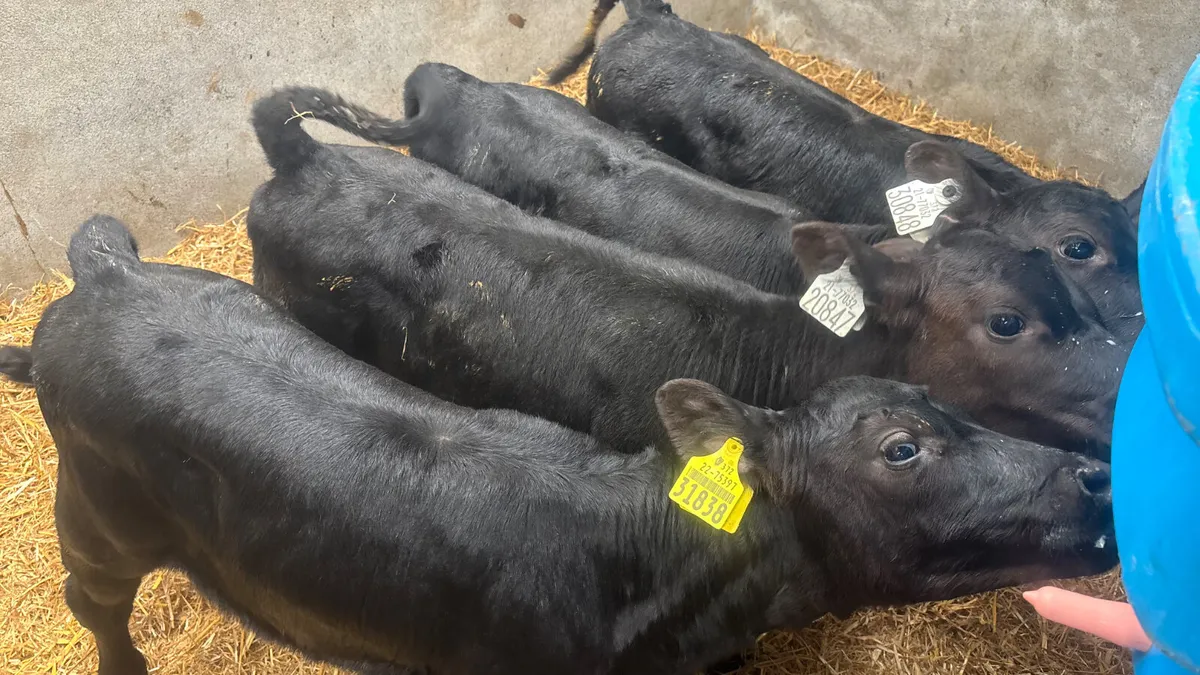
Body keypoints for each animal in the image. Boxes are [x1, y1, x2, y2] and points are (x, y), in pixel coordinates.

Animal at [5, 214, 1116, 675]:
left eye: (937, 405)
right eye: (900, 449)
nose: (1100, 478)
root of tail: (108, 270)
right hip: (95, 513)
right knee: (92, 601)